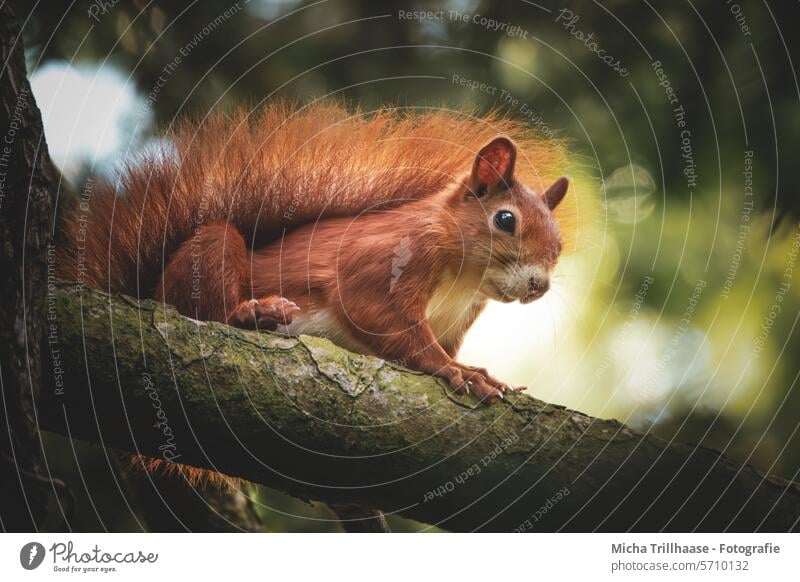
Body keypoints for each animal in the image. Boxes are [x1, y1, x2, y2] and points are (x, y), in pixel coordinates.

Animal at [59, 101, 576, 402]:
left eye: (559, 243)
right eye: (505, 220)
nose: (539, 285)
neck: (465, 279)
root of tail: (146, 289)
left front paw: (474, 369)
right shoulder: (385, 259)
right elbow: (382, 317)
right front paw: (457, 371)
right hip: (208, 257)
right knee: (206, 310)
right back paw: (255, 312)